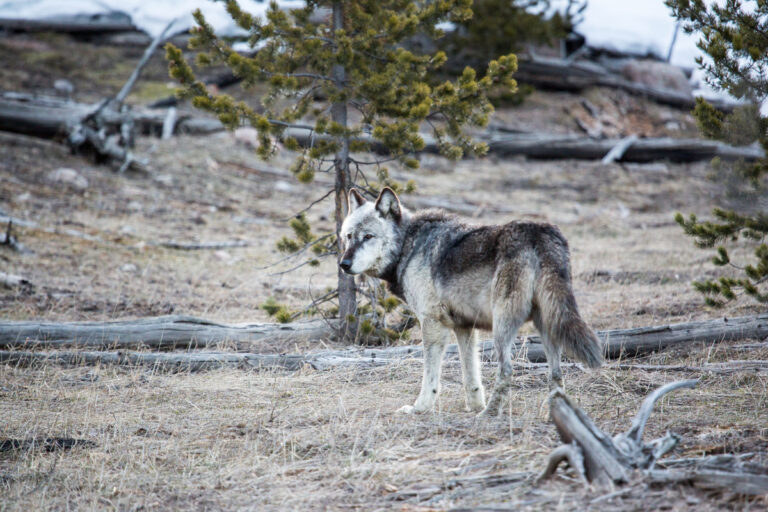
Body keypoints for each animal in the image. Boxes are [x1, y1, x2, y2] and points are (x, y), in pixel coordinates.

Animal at [339, 187, 602, 416]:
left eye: (368, 237)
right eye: (349, 237)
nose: (343, 264)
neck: (409, 246)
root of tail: (541, 233)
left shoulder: (433, 324)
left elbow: (430, 376)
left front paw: (420, 408)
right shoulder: (464, 326)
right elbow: (470, 375)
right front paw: (474, 405)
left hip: (502, 327)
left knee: (507, 370)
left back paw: (489, 415)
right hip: (547, 324)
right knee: (556, 375)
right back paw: (554, 416)